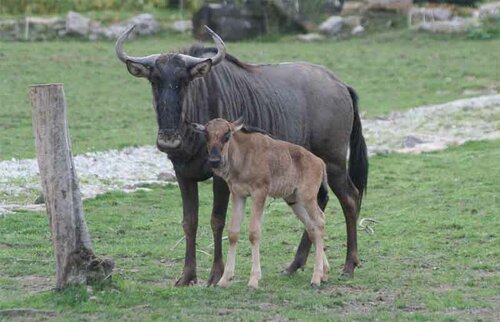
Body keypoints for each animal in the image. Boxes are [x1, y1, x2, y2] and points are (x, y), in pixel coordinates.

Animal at [193, 117, 330, 286]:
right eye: (206, 135)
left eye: (227, 135)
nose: (214, 160)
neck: (243, 155)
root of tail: (320, 162)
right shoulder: (238, 195)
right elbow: (233, 233)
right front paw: (224, 279)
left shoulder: (259, 193)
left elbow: (254, 232)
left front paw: (253, 279)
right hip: (295, 201)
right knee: (312, 226)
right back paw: (324, 273)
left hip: (308, 198)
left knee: (319, 222)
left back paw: (316, 278)